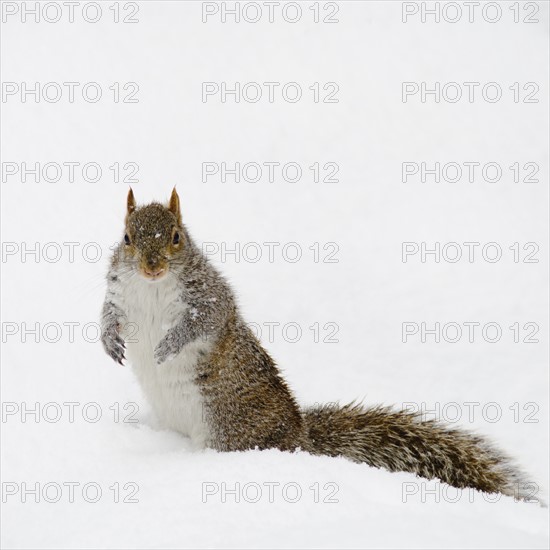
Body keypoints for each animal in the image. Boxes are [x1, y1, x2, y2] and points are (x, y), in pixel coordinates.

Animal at [101, 190, 540, 504]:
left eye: (177, 236)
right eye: (126, 238)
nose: (152, 267)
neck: (151, 288)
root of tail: (300, 438)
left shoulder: (209, 297)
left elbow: (204, 321)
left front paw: (167, 346)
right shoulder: (119, 295)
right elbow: (107, 315)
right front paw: (108, 341)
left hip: (228, 430)